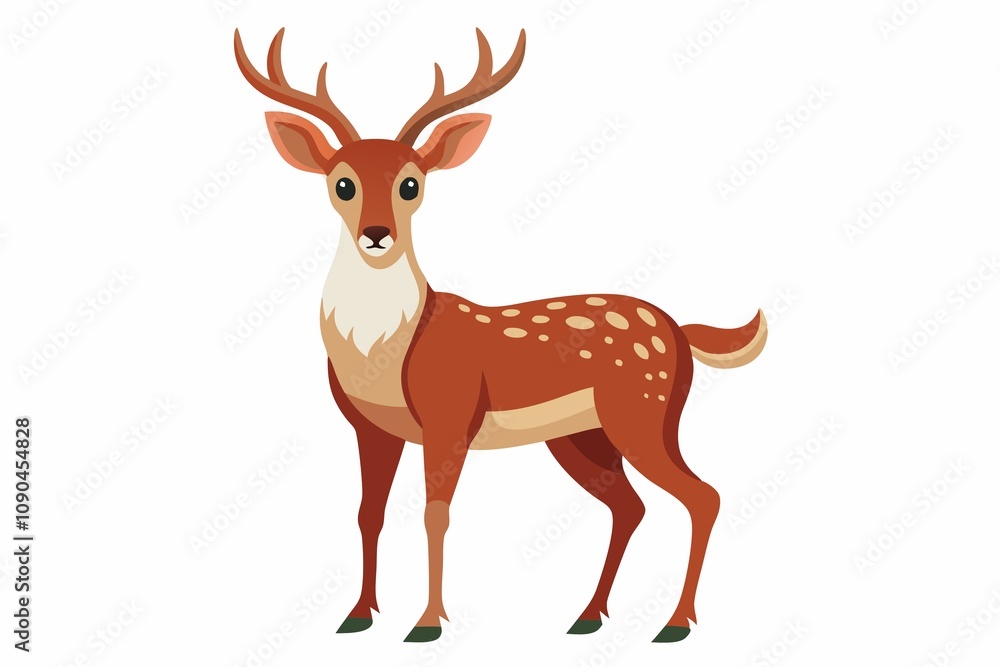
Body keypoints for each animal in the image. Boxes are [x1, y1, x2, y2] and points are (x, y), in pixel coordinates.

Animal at [234, 26, 767, 644]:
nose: (376, 234)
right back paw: (588, 616)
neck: (385, 352)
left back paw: (675, 624)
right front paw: (358, 615)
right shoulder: (369, 427)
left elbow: (434, 513)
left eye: (411, 184)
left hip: (644, 410)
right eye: (341, 183)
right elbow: (369, 513)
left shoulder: (450, 415)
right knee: (630, 506)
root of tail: (679, 331)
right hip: (582, 436)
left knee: (703, 496)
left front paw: (428, 623)